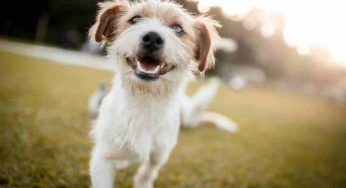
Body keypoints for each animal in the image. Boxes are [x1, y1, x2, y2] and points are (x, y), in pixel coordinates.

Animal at [88, 0, 238, 187]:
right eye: (135, 19)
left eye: (177, 28)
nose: (152, 38)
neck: (145, 99)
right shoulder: (103, 157)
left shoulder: (161, 151)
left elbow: (148, 171)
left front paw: (143, 181)